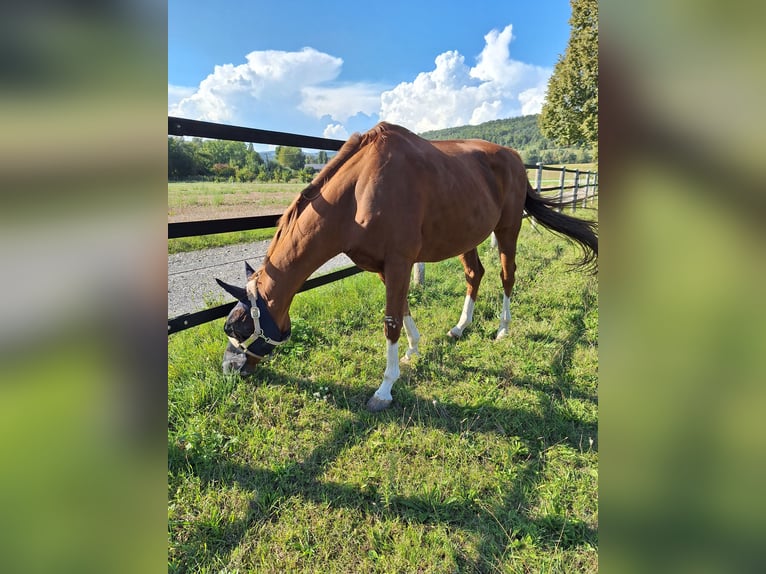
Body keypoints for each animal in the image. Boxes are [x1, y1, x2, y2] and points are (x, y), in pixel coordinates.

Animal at [216, 122, 600, 414]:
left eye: (237, 327)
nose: (229, 370)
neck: (359, 191)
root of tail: (516, 158)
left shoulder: (399, 261)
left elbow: (390, 321)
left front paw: (385, 388)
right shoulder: (383, 266)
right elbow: (402, 308)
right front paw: (413, 349)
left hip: (507, 229)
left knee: (508, 275)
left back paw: (503, 329)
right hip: (467, 236)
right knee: (475, 274)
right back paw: (460, 327)